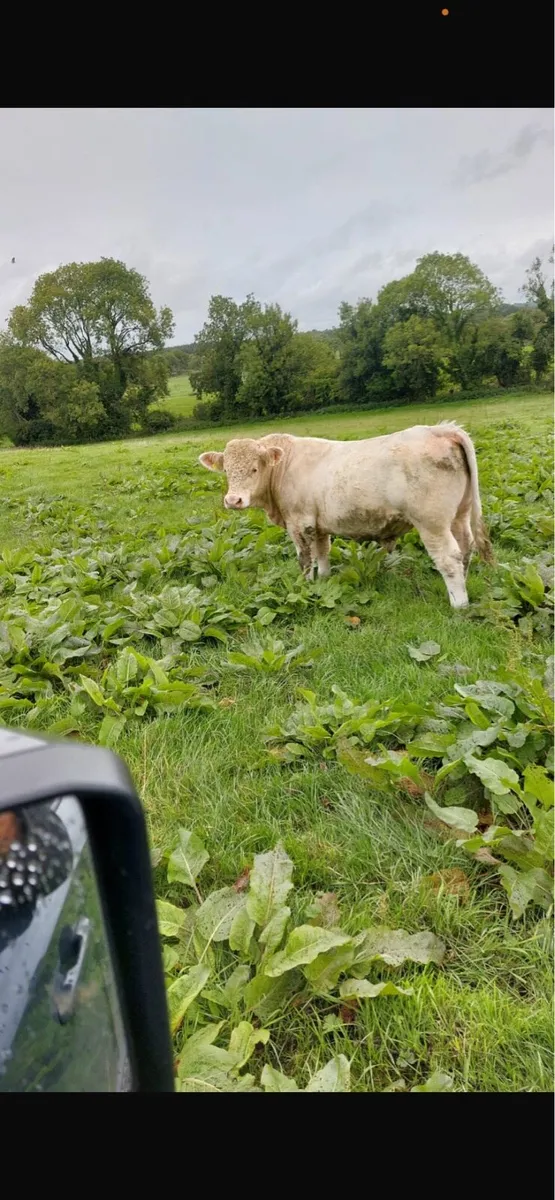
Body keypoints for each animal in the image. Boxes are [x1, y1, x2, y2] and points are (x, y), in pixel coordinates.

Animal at [199, 422, 493, 609]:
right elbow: (322, 553)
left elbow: (304, 559)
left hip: (432, 523)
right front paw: (324, 579)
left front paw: (305, 586)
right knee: (465, 549)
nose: (233, 500)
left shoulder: (299, 522)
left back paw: (459, 604)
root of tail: (441, 429)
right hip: (459, 515)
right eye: (227, 471)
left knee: (448, 558)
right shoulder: (318, 525)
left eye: (254, 469)